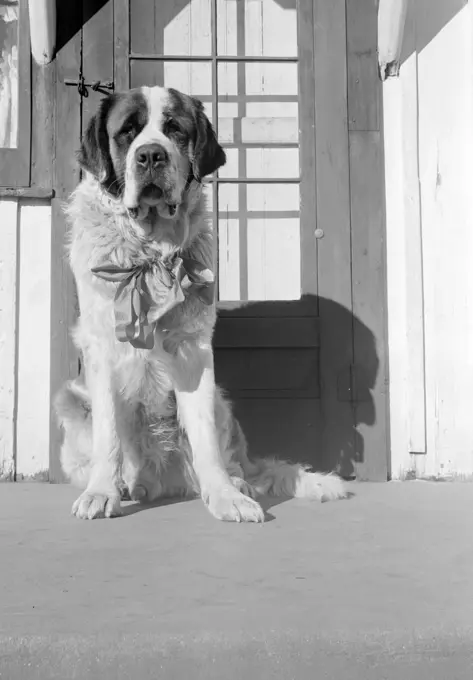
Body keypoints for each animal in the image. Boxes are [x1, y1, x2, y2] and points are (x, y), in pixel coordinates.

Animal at [54, 85, 346, 520]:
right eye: (127, 131)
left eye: (175, 129)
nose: (151, 155)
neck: (150, 252)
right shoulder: (103, 349)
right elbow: (108, 435)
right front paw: (101, 493)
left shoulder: (193, 352)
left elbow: (205, 437)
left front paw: (227, 497)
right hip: (72, 399)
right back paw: (123, 485)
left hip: (221, 401)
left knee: (229, 456)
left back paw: (236, 483)